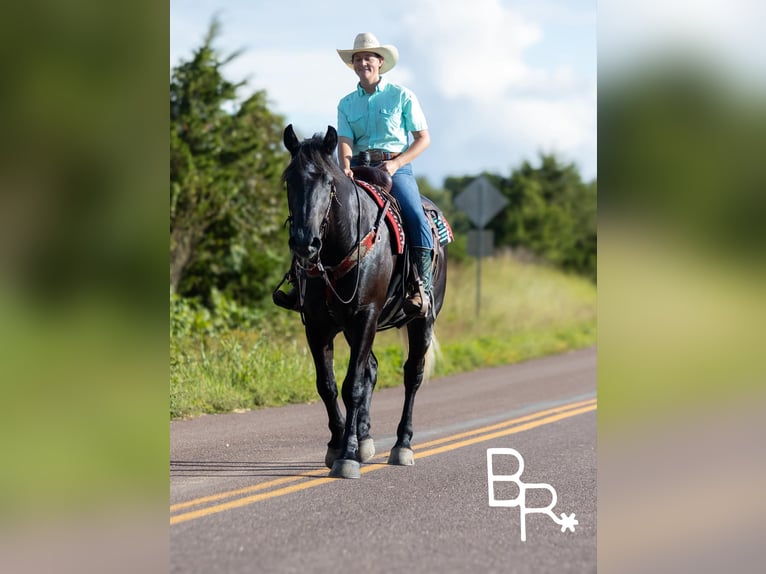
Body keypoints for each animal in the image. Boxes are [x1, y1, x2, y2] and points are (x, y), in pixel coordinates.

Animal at [282, 126, 450, 482]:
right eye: (289, 179)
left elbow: (353, 387)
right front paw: (338, 446)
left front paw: (347, 456)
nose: (304, 243)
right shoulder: (318, 326)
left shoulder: (365, 317)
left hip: (422, 320)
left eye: (328, 182)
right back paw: (366, 439)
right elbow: (328, 386)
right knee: (371, 368)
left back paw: (402, 446)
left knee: (412, 375)